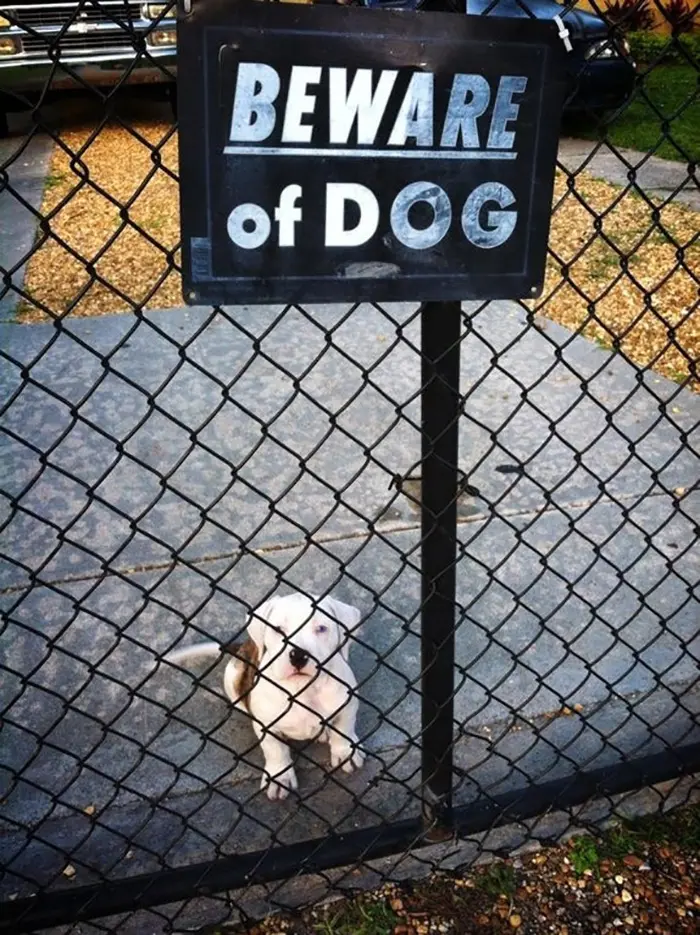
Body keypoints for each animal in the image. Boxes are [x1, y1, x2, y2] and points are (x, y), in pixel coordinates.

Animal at [163, 596, 360, 800]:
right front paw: (280, 777)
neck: (302, 689)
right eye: (278, 629)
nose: (298, 655)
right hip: (233, 676)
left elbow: (343, 730)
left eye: (321, 628)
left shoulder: (348, 705)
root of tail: (244, 645)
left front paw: (346, 752)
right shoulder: (267, 726)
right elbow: (275, 750)